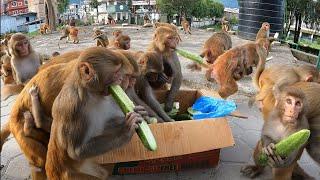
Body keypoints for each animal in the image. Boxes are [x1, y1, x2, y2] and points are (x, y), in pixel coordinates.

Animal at [44, 47, 145, 179]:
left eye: (119, 71)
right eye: (116, 72)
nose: (120, 80)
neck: (92, 93)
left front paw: (138, 111)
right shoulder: (74, 108)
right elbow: (76, 151)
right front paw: (125, 130)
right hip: (72, 174)